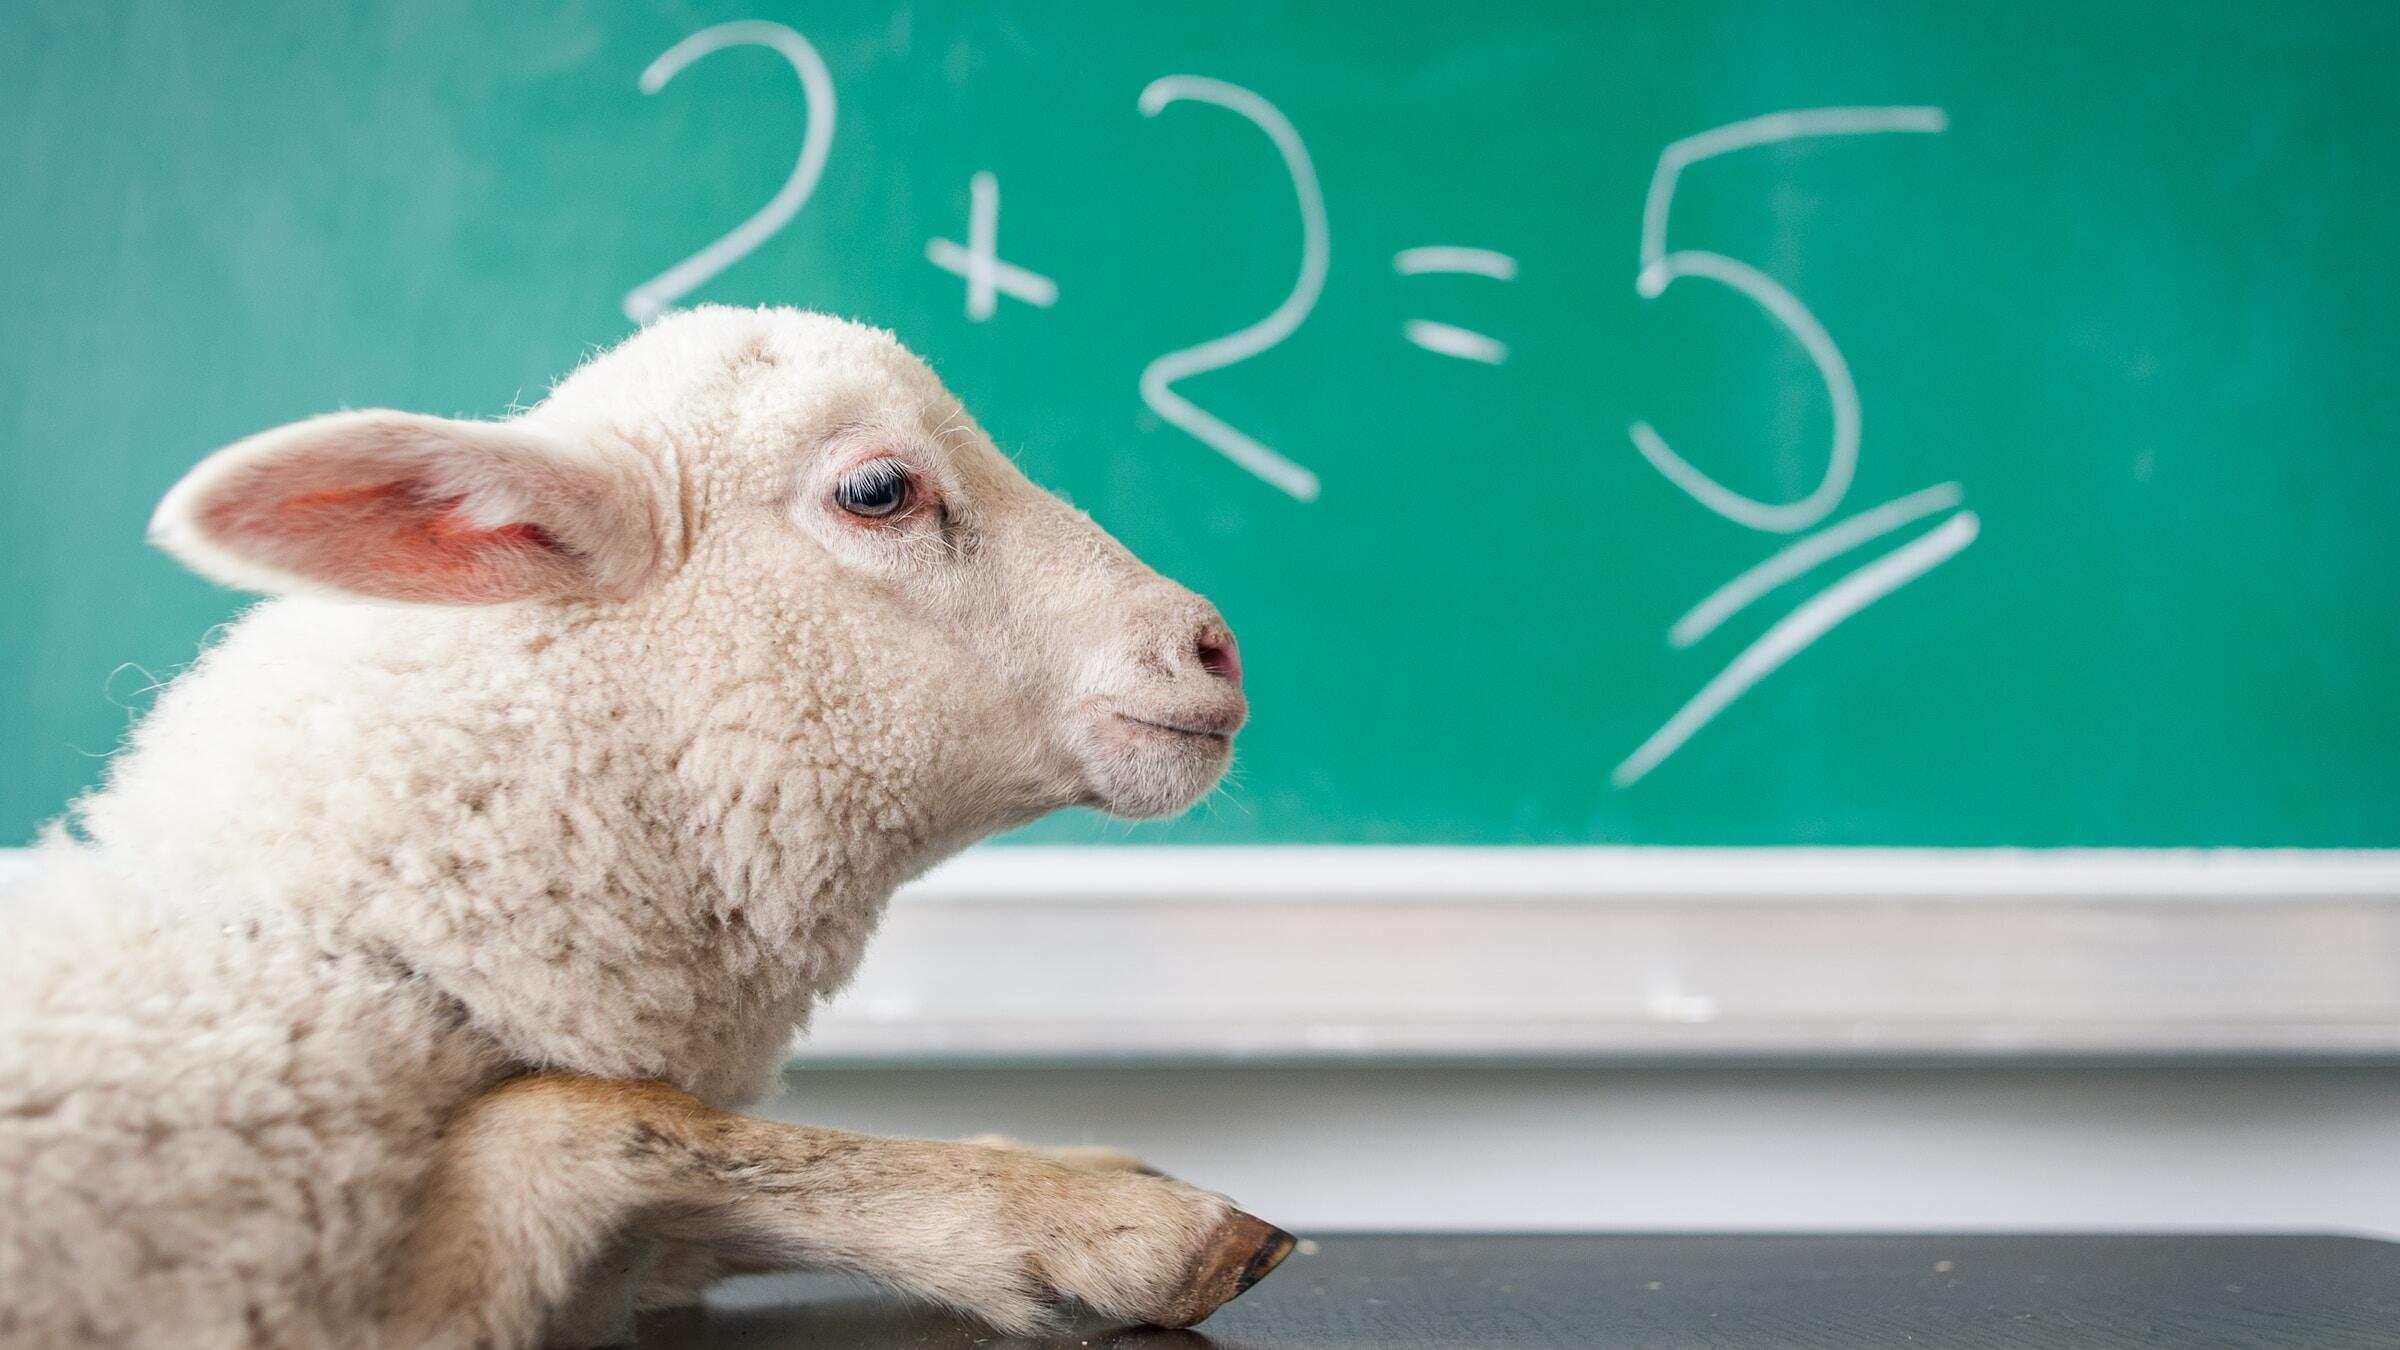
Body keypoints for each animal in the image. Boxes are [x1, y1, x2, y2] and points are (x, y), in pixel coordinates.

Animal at [0, 306, 1289, 1349]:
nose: (1215, 646)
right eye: (879, 490)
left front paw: (1054, 1171)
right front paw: (1123, 1219)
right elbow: (577, 1116)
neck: (358, 954)